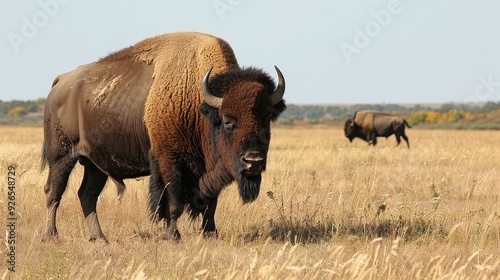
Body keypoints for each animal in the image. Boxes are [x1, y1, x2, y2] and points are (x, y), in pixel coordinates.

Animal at [40, 30, 286, 241]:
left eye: (267, 118)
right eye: (227, 120)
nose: (253, 161)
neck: (198, 103)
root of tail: (61, 82)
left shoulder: (209, 168)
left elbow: (210, 203)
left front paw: (210, 234)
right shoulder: (170, 160)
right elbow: (173, 201)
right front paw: (172, 236)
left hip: (95, 163)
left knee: (87, 194)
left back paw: (99, 238)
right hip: (61, 156)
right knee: (54, 192)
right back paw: (51, 236)